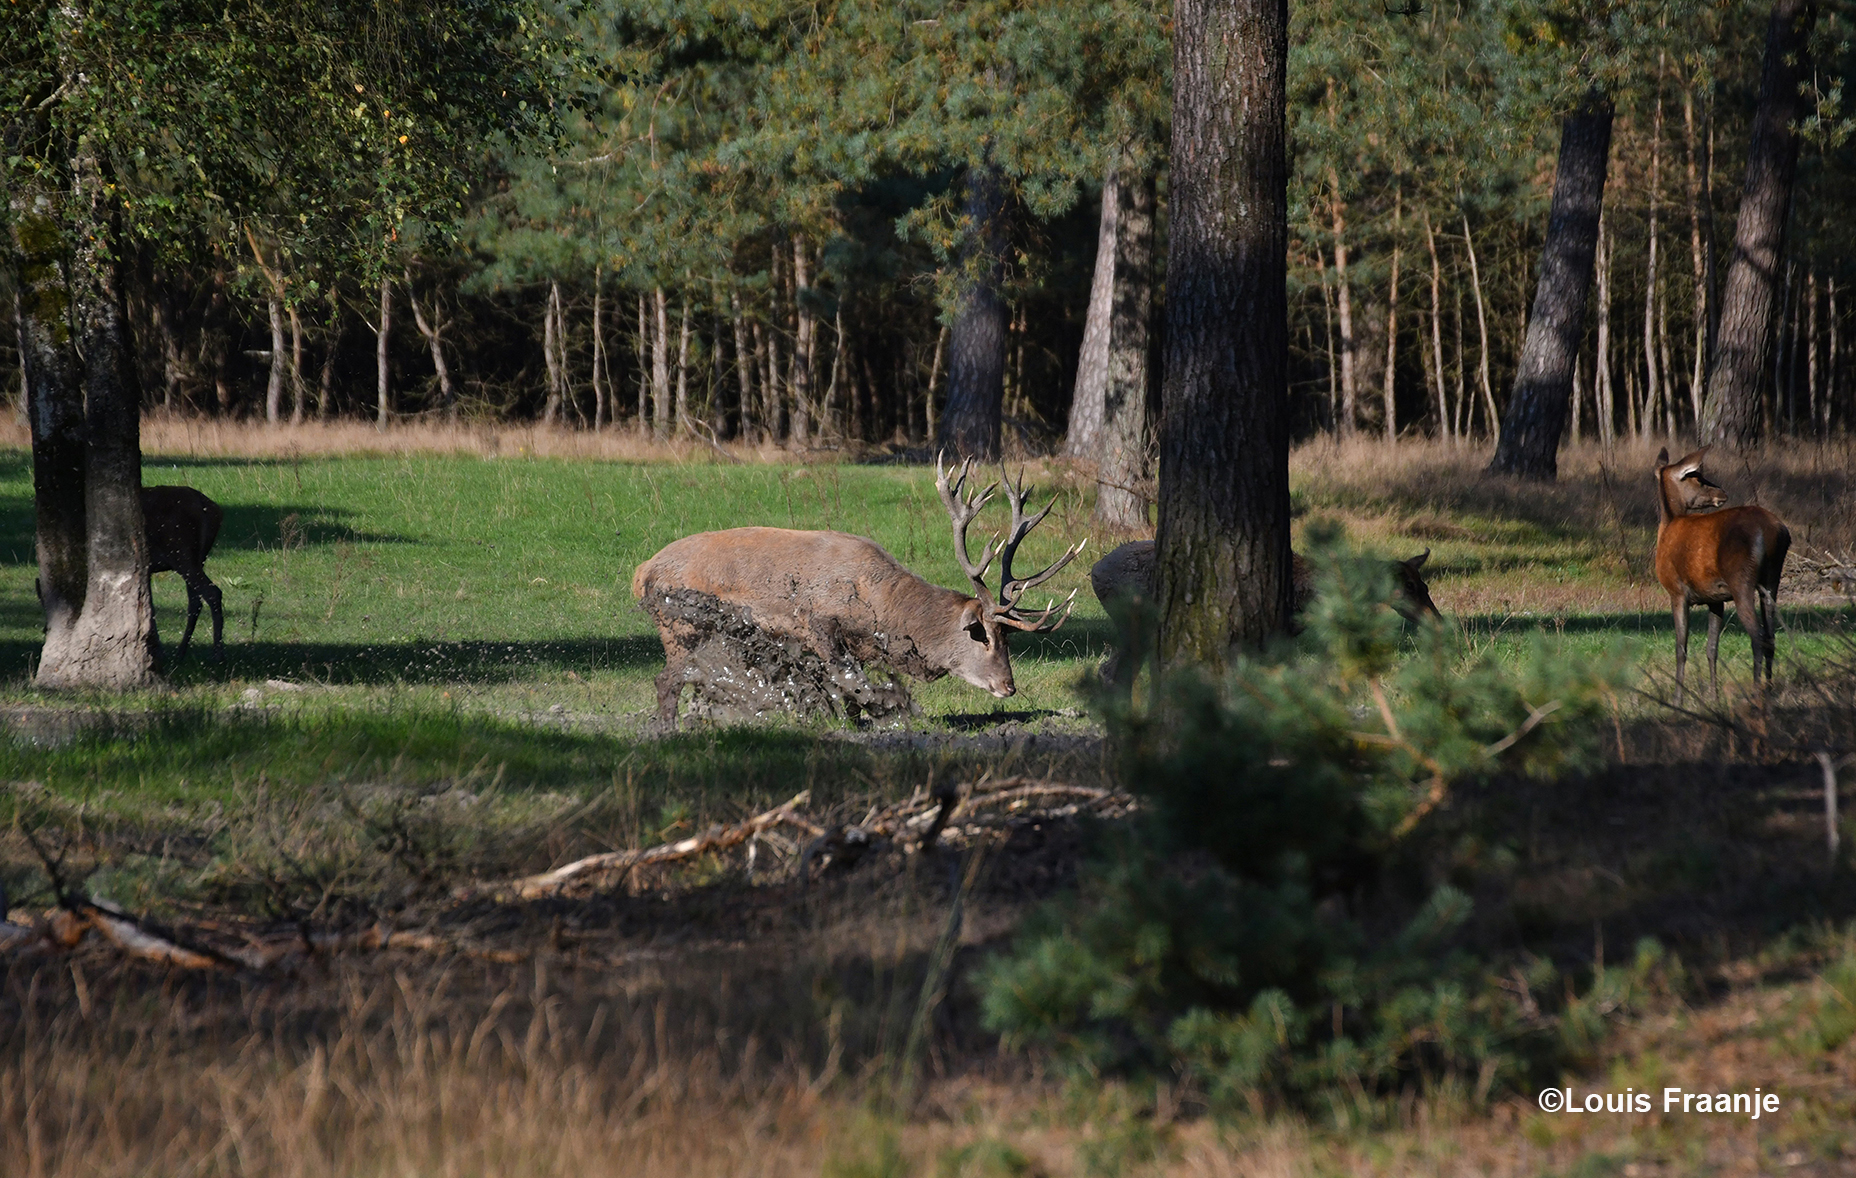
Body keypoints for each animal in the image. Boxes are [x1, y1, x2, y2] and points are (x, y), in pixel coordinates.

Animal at [631, 458, 1083, 727]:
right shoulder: (819, 625)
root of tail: (641, 572)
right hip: (680, 628)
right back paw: (670, 728)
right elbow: (849, 681)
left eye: (1008, 637)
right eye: (983, 636)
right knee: (665, 680)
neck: (880, 611)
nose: (1009, 686)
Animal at [1662, 448, 1789, 704]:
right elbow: (1712, 648)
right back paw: (1770, 690)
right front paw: (1713, 696)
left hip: (1741, 579)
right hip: (1772, 579)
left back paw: (1755, 693)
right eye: (1697, 478)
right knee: (1771, 636)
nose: (1722, 492)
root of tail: (1775, 531)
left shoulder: (1676, 591)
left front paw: (1677, 699)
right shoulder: (1715, 598)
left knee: (1758, 637)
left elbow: (1681, 648)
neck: (1666, 528)